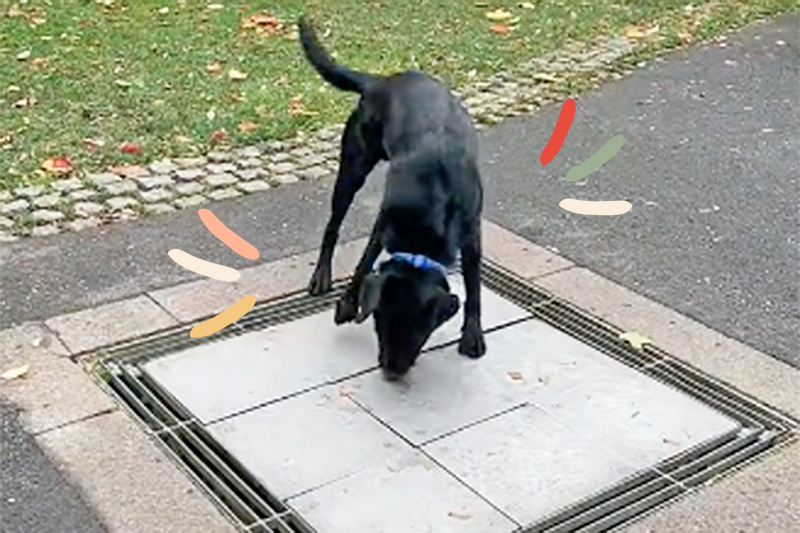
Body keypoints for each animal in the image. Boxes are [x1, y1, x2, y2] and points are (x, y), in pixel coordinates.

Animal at [300, 17, 488, 378]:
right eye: (379, 321)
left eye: (421, 330)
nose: (391, 370)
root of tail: (381, 81)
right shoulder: (384, 223)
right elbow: (363, 264)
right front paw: (347, 304)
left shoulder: (472, 230)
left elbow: (474, 284)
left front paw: (473, 334)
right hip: (353, 165)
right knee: (333, 225)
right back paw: (321, 275)